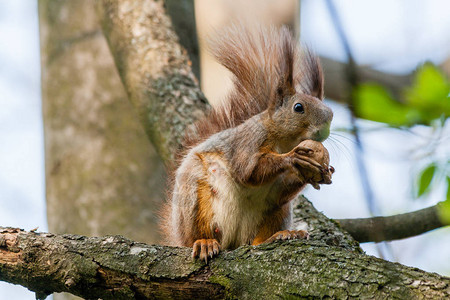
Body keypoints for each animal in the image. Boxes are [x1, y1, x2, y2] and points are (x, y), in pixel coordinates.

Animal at [162, 24, 334, 262]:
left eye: (331, 114)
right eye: (298, 107)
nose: (324, 130)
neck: (284, 142)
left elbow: (282, 188)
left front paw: (320, 173)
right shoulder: (248, 141)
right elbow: (248, 171)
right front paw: (292, 159)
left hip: (277, 211)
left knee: (258, 239)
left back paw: (282, 234)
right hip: (195, 196)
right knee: (197, 233)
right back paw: (204, 242)